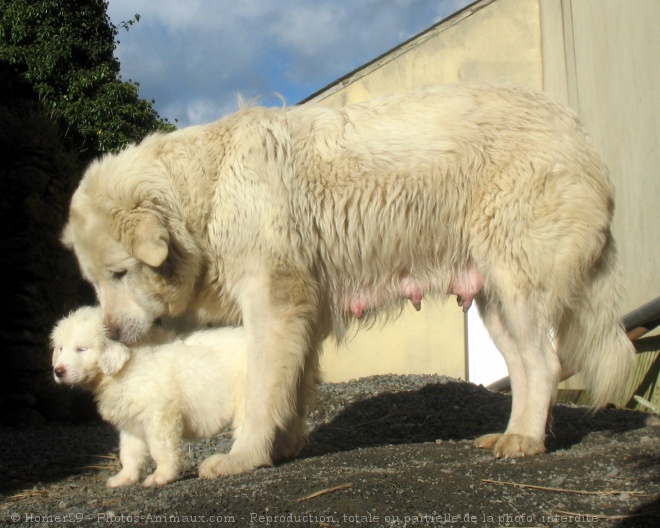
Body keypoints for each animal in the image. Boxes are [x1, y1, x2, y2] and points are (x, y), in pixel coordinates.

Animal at [51, 308, 248, 488]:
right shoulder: (130, 421)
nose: (58, 371)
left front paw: (162, 476)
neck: (124, 369)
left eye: (81, 349)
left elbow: (160, 449)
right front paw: (125, 477)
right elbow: (129, 453)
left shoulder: (160, 416)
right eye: (61, 348)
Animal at [62, 83, 636, 478]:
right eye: (94, 282)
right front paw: (283, 447)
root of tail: (578, 132)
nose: (112, 333)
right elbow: (291, 386)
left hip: (518, 282)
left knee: (545, 363)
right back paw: (512, 434)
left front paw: (243, 456)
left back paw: (527, 442)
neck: (209, 188)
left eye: (120, 273)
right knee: (523, 367)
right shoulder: (302, 309)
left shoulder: (274, 301)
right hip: (494, 295)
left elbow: (263, 386)